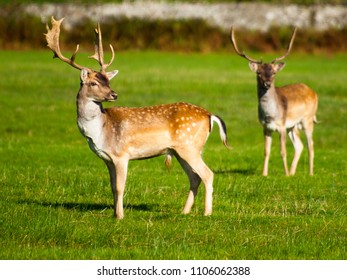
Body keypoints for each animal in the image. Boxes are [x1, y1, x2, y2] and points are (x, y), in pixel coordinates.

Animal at [45, 16, 231, 220]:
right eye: (94, 83)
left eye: (108, 81)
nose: (114, 94)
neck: (101, 130)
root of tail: (209, 115)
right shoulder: (107, 159)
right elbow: (112, 187)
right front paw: (114, 213)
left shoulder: (121, 154)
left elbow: (120, 187)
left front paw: (120, 216)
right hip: (180, 150)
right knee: (194, 177)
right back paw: (184, 211)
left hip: (189, 145)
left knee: (207, 174)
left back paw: (207, 213)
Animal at [230, 29, 320, 177]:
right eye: (258, 72)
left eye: (273, 72)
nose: (267, 83)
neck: (270, 115)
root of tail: (314, 92)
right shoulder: (266, 127)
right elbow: (266, 151)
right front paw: (264, 174)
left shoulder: (281, 126)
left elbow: (283, 151)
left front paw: (285, 175)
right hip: (293, 126)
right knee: (299, 145)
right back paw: (293, 172)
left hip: (307, 119)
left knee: (310, 145)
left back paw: (310, 173)